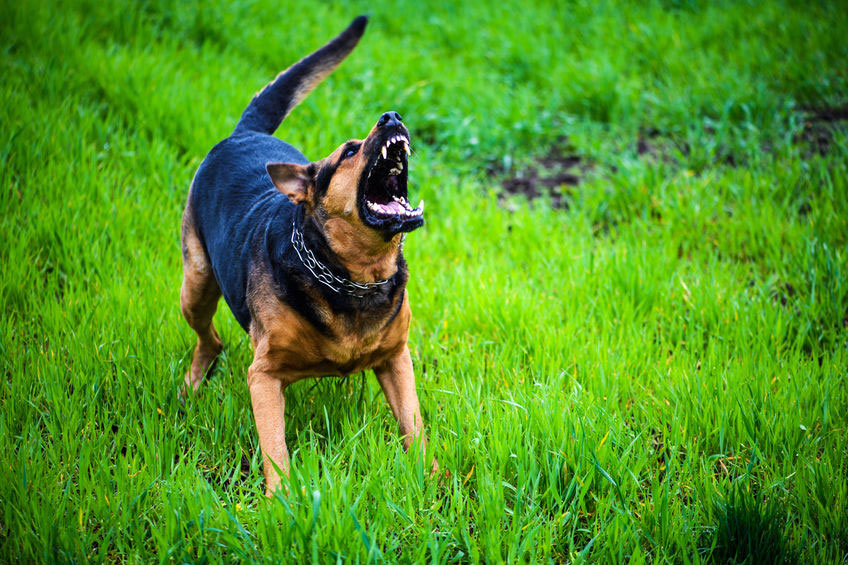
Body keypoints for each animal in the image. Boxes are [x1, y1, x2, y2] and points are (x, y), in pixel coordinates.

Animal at [179, 15, 438, 494]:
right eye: (350, 151)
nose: (391, 116)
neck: (356, 274)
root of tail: (244, 134)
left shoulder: (396, 358)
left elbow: (414, 426)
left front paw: (431, 479)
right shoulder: (264, 376)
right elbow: (275, 448)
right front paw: (279, 500)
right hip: (197, 284)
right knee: (210, 339)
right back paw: (191, 385)